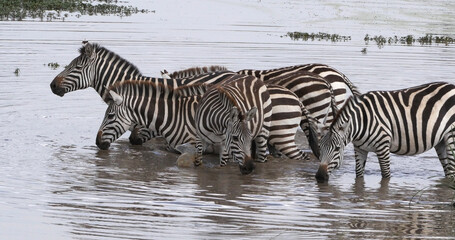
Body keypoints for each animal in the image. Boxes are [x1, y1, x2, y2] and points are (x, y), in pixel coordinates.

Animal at [316, 81, 455, 183]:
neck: (361, 123)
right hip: (441, 141)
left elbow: (386, 176)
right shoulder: (360, 149)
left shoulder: (383, 146)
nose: (319, 177)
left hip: (451, 137)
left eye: (337, 149)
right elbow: (359, 175)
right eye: (320, 148)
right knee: (448, 171)